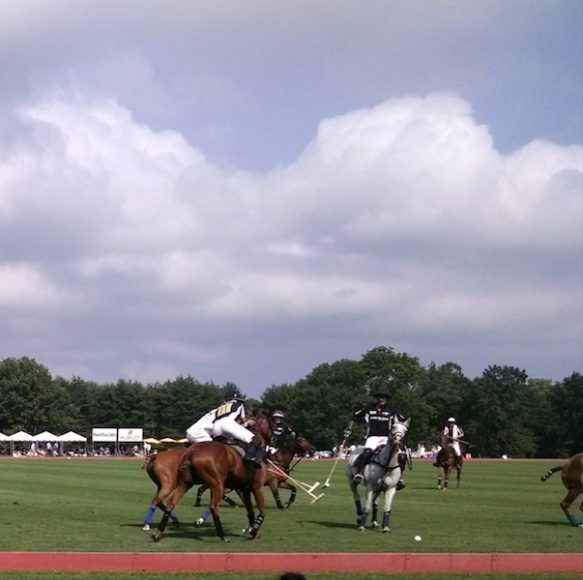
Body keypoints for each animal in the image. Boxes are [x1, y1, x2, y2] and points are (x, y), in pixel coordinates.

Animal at [152, 412, 272, 544]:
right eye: (274, 423)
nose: (273, 440)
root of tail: (190, 452)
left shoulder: (243, 489)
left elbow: (250, 511)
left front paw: (253, 531)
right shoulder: (257, 487)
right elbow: (262, 511)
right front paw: (253, 529)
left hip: (186, 483)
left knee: (170, 503)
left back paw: (158, 533)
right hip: (216, 485)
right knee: (214, 507)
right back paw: (222, 536)